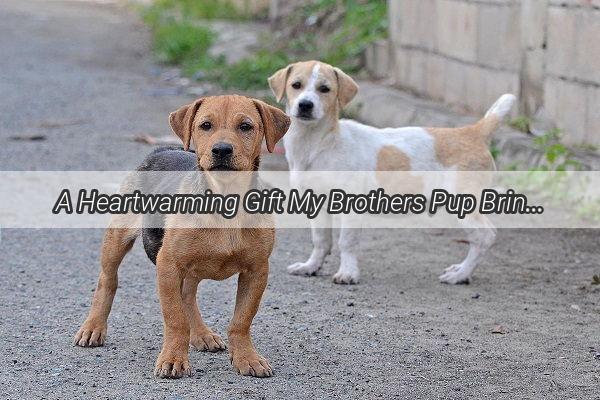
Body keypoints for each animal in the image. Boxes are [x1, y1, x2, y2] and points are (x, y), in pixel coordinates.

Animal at [74, 95, 290, 380]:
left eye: (246, 126)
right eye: (205, 125)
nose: (222, 150)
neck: (225, 199)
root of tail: (161, 149)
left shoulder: (257, 270)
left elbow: (241, 320)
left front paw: (247, 358)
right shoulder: (168, 264)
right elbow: (175, 318)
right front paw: (173, 359)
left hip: (192, 266)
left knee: (187, 295)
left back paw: (201, 335)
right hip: (118, 238)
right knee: (107, 280)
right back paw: (93, 328)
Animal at [268, 60, 516, 284]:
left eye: (324, 89)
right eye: (296, 85)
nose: (305, 105)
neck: (318, 144)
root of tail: (473, 132)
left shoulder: (350, 205)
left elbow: (346, 242)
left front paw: (347, 273)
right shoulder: (316, 205)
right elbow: (320, 241)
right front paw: (311, 266)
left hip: (462, 203)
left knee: (485, 236)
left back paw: (461, 274)